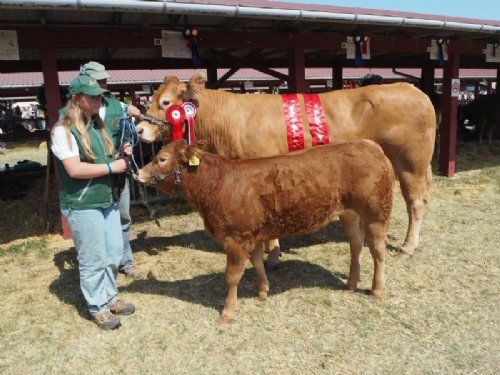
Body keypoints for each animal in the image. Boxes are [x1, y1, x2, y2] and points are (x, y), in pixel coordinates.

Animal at [138, 75, 438, 260]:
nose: (139, 129)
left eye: (165, 103)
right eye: (151, 98)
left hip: (411, 161)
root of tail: (411, 89)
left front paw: (272, 253)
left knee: (416, 201)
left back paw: (407, 247)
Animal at [138, 140, 394, 324]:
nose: (138, 173)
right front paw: (263, 291)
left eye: (161, 159)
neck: (218, 183)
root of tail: (369, 144)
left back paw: (377, 289)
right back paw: (351, 282)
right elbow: (257, 262)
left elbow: (232, 276)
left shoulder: (235, 238)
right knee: (356, 243)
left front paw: (228, 311)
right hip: (349, 213)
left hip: (376, 212)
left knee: (377, 250)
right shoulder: (252, 234)